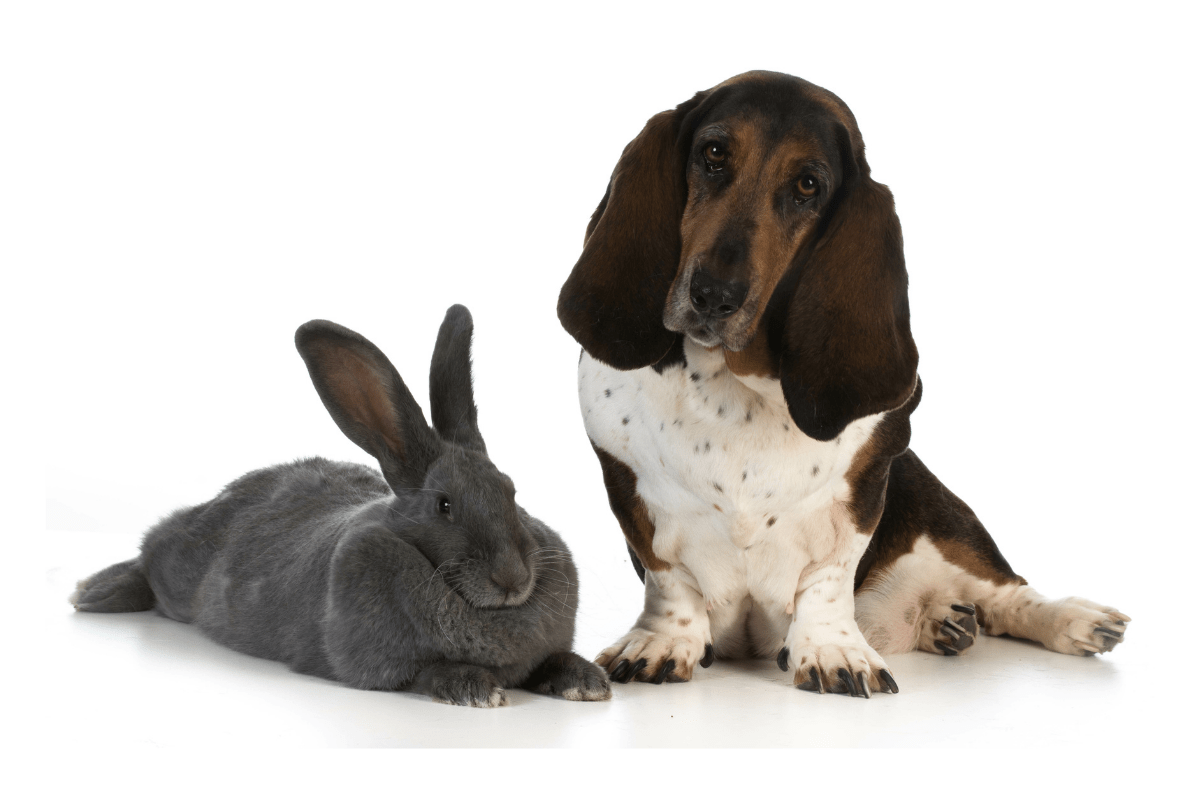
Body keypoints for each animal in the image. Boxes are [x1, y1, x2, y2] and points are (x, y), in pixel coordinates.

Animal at [70, 305, 611, 707]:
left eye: (511, 491)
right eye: (443, 505)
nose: (513, 579)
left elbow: (555, 659)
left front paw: (588, 681)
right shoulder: (379, 664)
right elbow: (426, 671)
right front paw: (476, 688)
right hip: (177, 565)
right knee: (148, 553)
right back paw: (93, 591)